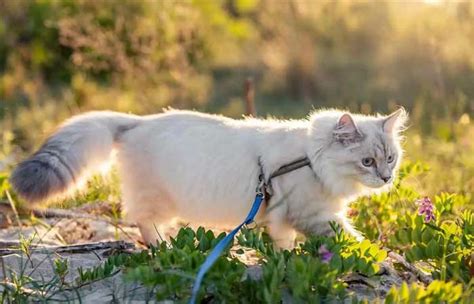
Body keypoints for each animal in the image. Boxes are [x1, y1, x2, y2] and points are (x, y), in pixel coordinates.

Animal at [10, 108, 408, 248]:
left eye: (390, 158)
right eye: (367, 161)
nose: (386, 178)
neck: (310, 159)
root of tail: (137, 121)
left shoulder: (283, 218)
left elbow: (284, 246)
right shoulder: (313, 213)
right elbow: (351, 238)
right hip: (159, 200)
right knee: (143, 222)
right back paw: (163, 249)